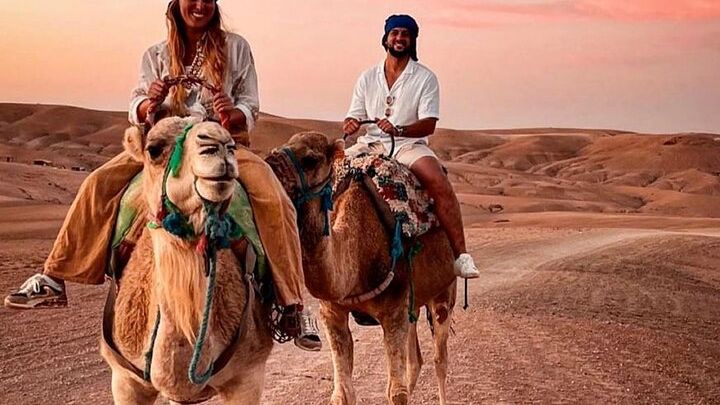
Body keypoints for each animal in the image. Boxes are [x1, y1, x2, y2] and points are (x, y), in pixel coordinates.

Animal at [267, 132, 458, 405]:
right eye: (281, 146)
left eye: (311, 159)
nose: (268, 166)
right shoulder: (332, 311)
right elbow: (342, 394)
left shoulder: (393, 311)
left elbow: (396, 392)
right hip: (413, 303)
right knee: (416, 360)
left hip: (444, 293)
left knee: (439, 359)